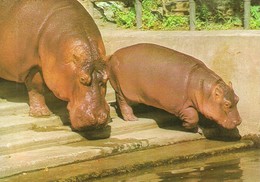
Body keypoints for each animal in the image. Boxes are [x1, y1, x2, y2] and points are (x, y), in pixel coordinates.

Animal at [107, 43, 242, 130]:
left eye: (237, 98)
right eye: (226, 104)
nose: (239, 121)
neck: (203, 90)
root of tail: (113, 55)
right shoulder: (180, 105)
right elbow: (193, 116)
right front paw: (188, 127)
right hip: (121, 88)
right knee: (123, 102)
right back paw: (132, 118)